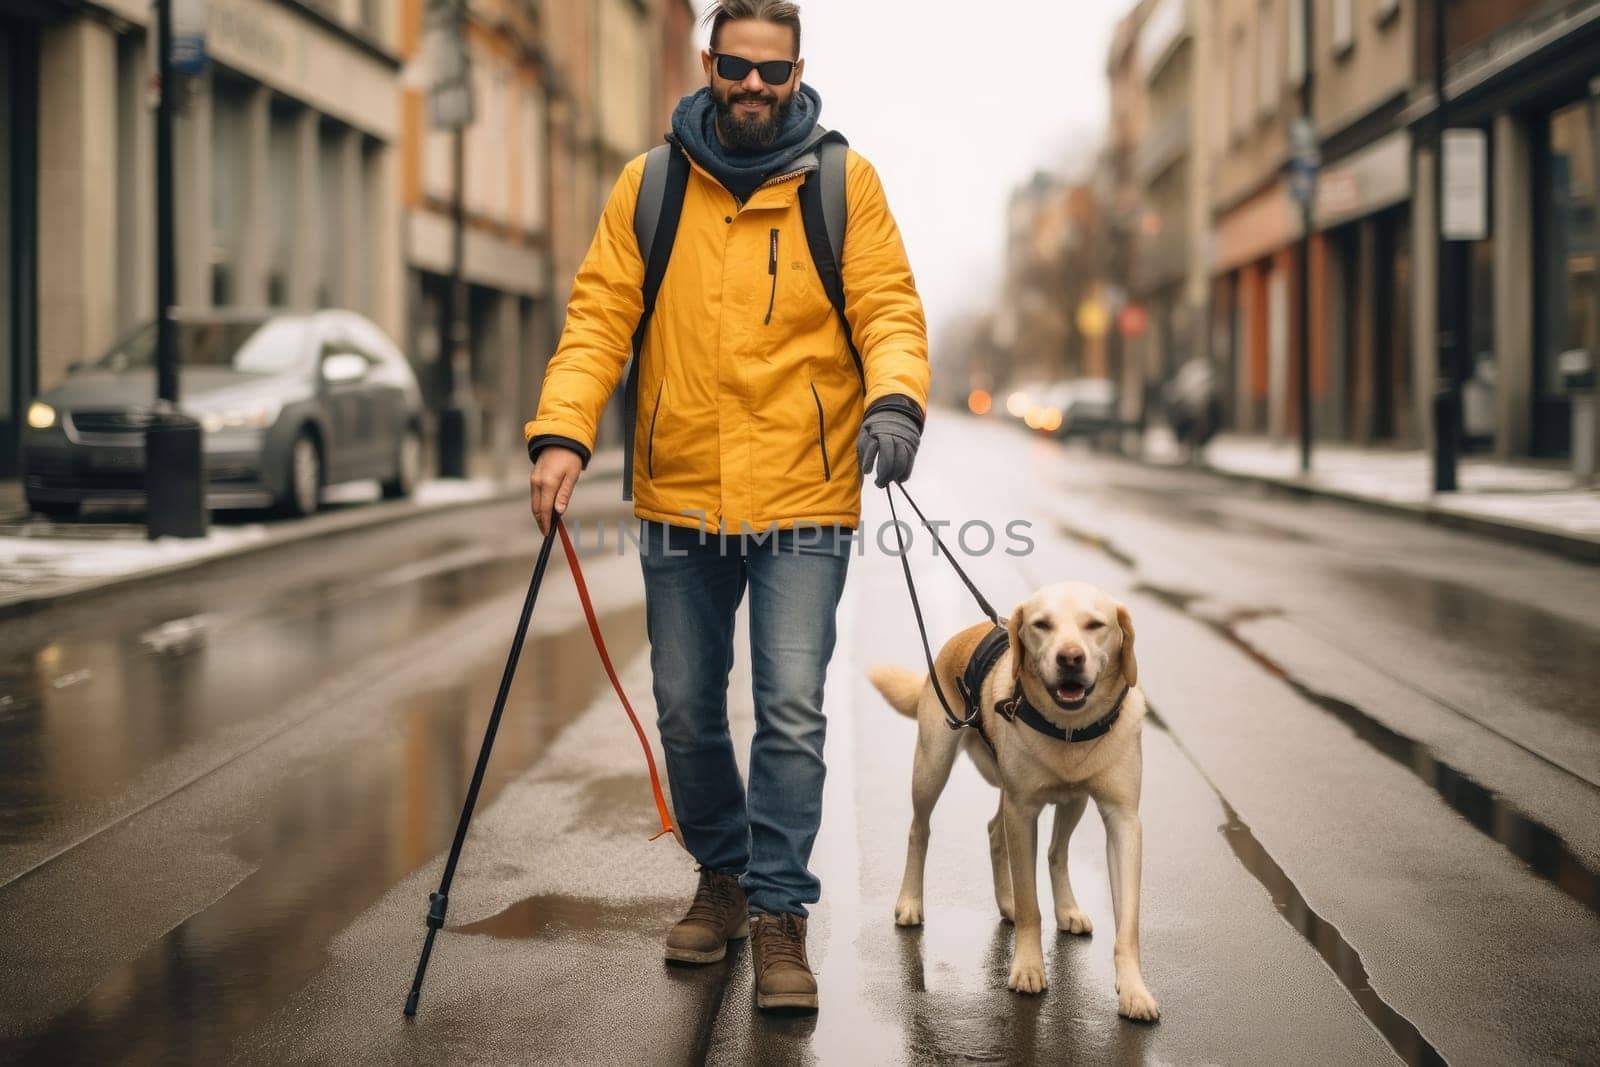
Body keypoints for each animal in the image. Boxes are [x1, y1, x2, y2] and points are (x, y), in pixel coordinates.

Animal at [870, 579, 1158, 1023]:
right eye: (1042, 624)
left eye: (1095, 625)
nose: (1070, 658)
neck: (1069, 727)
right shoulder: (1022, 812)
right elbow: (1029, 906)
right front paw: (1028, 968)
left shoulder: (1123, 820)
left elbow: (1127, 925)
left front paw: (1134, 991)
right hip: (932, 767)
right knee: (920, 830)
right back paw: (911, 902)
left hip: (1072, 800)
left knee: (1042, 848)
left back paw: (1054, 907)